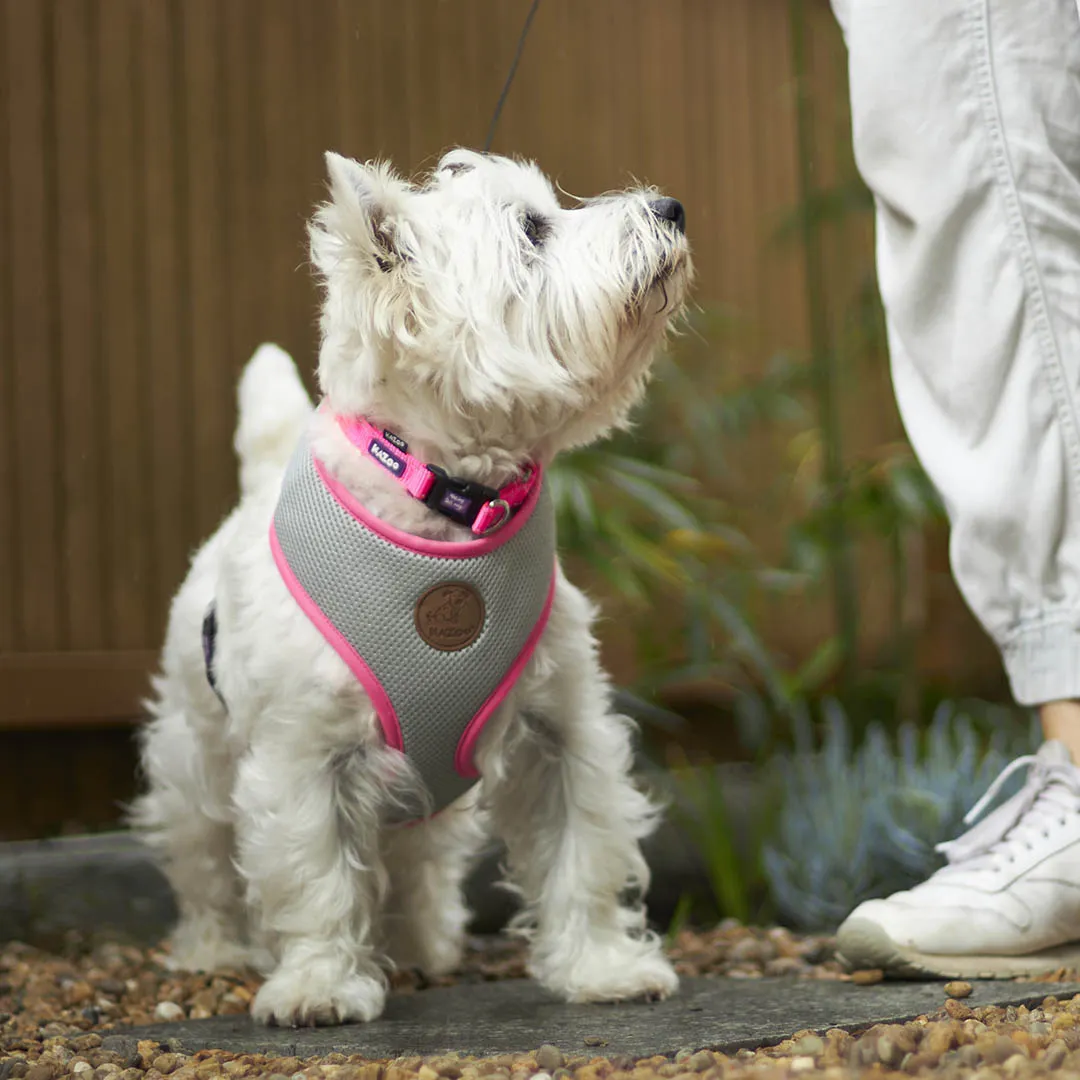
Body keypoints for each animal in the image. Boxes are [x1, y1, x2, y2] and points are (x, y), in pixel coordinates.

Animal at [132, 147, 691, 1023]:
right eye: (532, 230)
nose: (672, 208)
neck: (449, 505)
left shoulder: (560, 728)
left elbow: (584, 848)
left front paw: (603, 969)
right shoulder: (304, 752)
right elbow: (315, 874)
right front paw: (320, 988)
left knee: (417, 863)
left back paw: (421, 947)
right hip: (194, 753)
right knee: (205, 857)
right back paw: (214, 950)